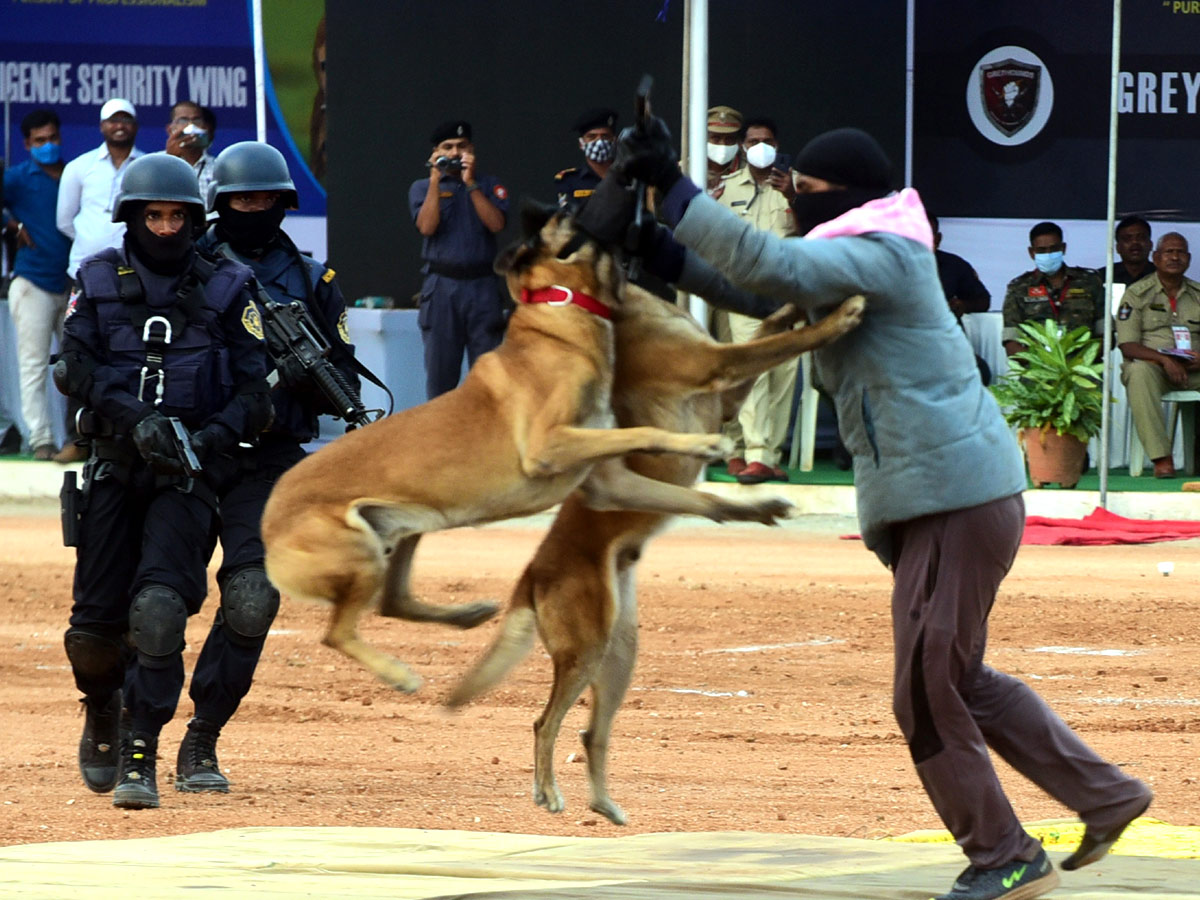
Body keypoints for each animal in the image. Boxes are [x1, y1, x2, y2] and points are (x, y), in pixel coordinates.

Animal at [261, 204, 854, 696]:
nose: (560, 202)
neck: (560, 318)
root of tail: (268, 517)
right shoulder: (552, 445)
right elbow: (643, 431)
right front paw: (705, 440)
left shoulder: (611, 482)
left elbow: (700, 497)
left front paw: (759, 505)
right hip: (360, 551)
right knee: (337, 632)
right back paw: (399, 673)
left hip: (405, 529)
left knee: (391, 600)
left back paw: (465, 614)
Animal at [446, 241, 868, 830]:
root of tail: (530, 574)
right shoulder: (717, 367)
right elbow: (779, 344)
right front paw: (837, 316)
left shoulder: (726, 393)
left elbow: (766, 333)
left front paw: (789, 307)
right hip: (586, 648)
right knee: (545, 723)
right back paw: (548, 791)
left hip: (620, 651)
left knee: (590, 732)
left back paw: (603, 803)